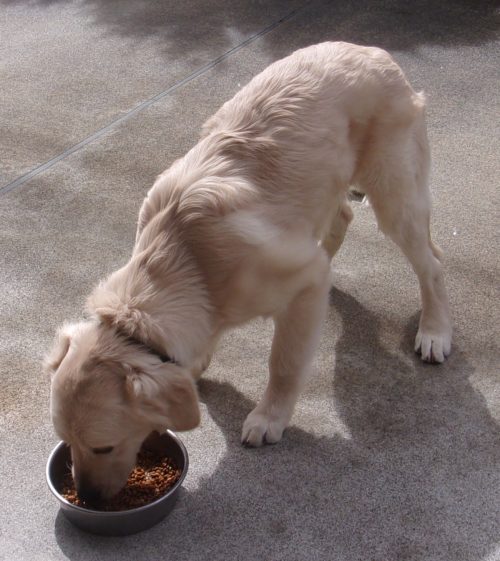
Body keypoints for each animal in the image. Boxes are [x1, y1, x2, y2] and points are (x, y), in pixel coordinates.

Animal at [45, 42, 452, 502]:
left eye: (103, 446)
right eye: (67, 441)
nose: (87, 498)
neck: (186, 260)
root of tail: (372, 50)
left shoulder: (302, 282)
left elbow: (285, 363)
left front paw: (270, 417)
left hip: (394, 197)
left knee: (433, 263)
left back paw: (435, 331)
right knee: (344, 217)